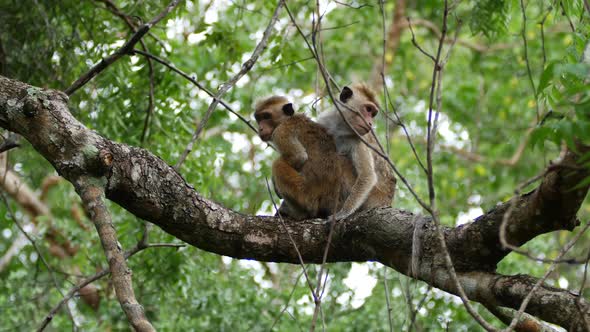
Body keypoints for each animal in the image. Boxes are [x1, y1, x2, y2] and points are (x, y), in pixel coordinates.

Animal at [320, 83, 398, 219]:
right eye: (368, 109)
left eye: (373, 113)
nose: (370, 123)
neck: (340, 127)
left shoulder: (359, 140)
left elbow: (367, 176)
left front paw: (343, 212)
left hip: (373, 197)